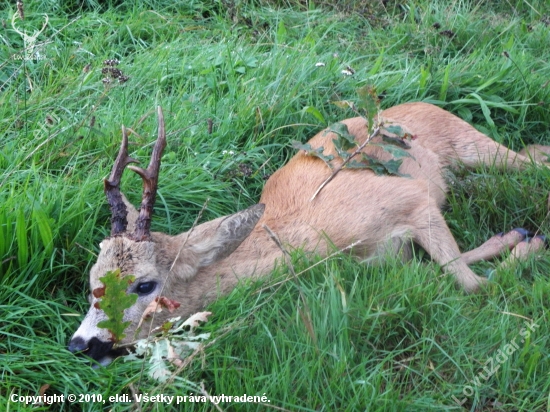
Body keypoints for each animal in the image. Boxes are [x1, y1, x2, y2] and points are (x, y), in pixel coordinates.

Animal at [68, 103, 548, 364]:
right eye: (92, 282)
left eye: (144, 285)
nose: (80, 344)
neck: (312, 243)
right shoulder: (395, 258)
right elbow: (447, 275)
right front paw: (517, 239)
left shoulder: (411, 200)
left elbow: (473, 287)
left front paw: (530, 245)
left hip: (472, 145)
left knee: (533, 157)